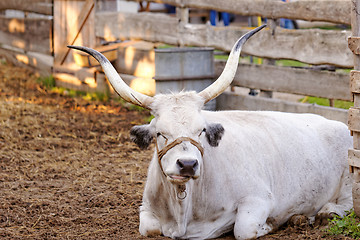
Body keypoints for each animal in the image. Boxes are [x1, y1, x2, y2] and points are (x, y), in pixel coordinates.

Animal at [67, 24, 352, 240]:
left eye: (201, 130)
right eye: (160, 133)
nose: (187, 164)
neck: (183, 209)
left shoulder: (259, 198)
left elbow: (244, 229)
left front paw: (275, 223)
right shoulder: (146, 209)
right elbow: (149, 228)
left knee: (346, 205)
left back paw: (321, 214)